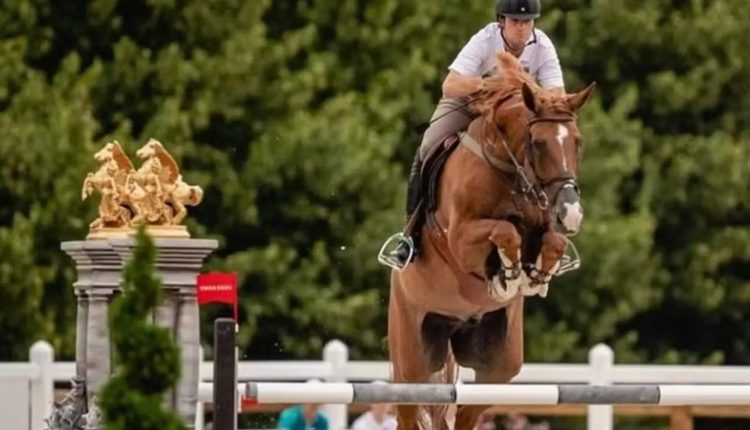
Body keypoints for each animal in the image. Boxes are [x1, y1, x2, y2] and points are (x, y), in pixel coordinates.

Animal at [390, 53, 596, 430]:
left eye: (577, 141)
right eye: (538, 143)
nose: (571, 213)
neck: (510, 170)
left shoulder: (546, 224)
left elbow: (552, 242)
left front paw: (534, 278)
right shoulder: (460, 238)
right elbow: (504, 231)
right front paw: (509, 276)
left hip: (498, 364)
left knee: (467, 412)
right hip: (413, 359)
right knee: (408, 409)